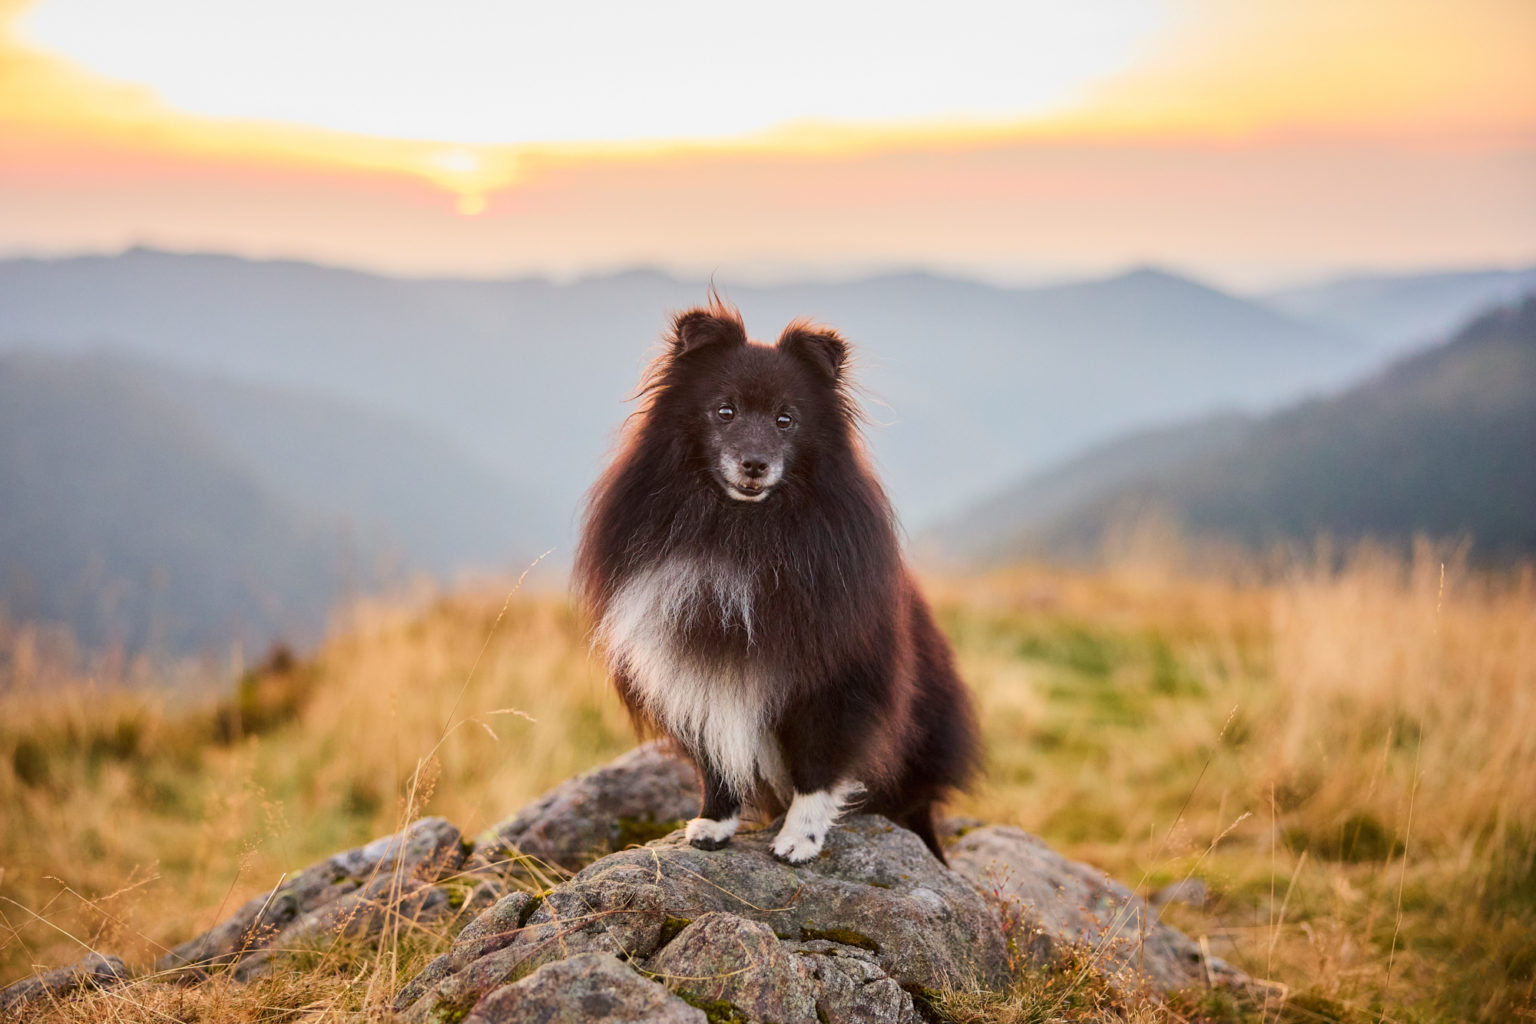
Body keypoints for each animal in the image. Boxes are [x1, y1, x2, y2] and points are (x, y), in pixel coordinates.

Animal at [577, 297, 983, 865]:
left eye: (786, 420)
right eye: (724, 411)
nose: (755, 464)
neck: (743, 531)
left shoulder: (830, 679)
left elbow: (818, 765)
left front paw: (799, 839)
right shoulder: (694, 670)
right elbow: (715, 756)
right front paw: (713, 823)